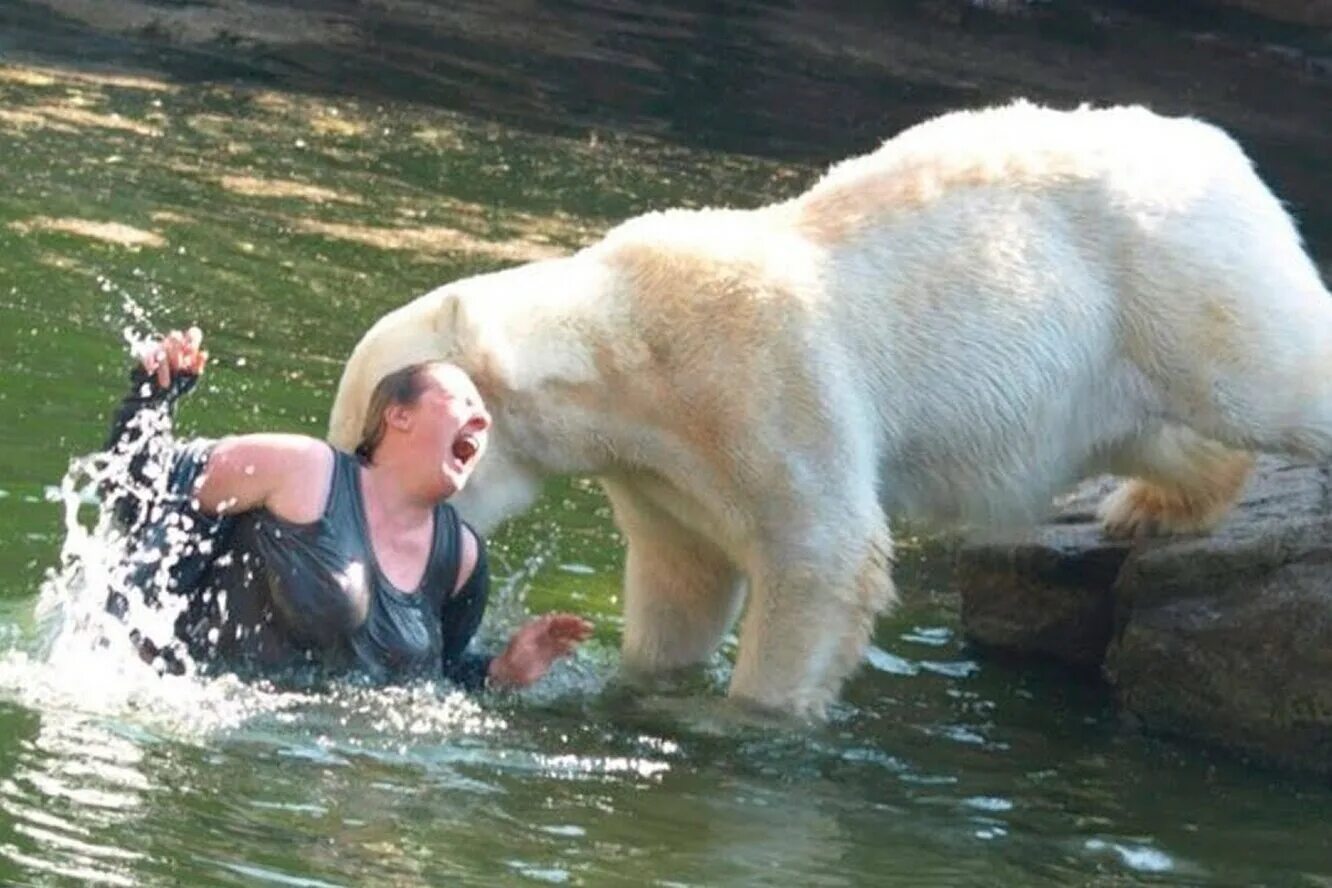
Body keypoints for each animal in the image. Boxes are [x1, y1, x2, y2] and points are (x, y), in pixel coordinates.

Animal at [330, 100, 1332, 718]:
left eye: (369, 434)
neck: (631, 352)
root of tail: (1215, 146)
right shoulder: (658, 473)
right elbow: (684, 581)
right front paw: (644, 685)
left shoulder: (761, 382)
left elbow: (822, 555)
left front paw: (749, 719)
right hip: (1105, 357)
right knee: (1156, 431)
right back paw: (1152, 506)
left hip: (1175, 271)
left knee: (1272, 374)